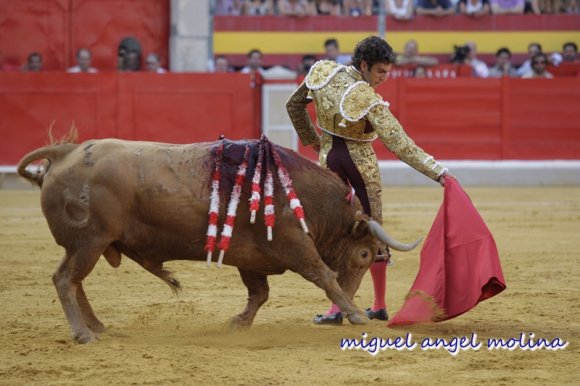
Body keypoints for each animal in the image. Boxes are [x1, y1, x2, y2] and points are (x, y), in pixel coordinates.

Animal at [15, 136, 420, 344]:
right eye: (365, 254)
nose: (351, 301)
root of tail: (66, 151)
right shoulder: (295, 246)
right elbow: (324, 276)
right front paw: (355, 314)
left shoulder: (252, 258)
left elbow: (259, 294)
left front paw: (238, 323)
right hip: (91, 241)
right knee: (66, 280)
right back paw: (84, 333)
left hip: (86, 245)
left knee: (73, 280)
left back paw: (97, 326)